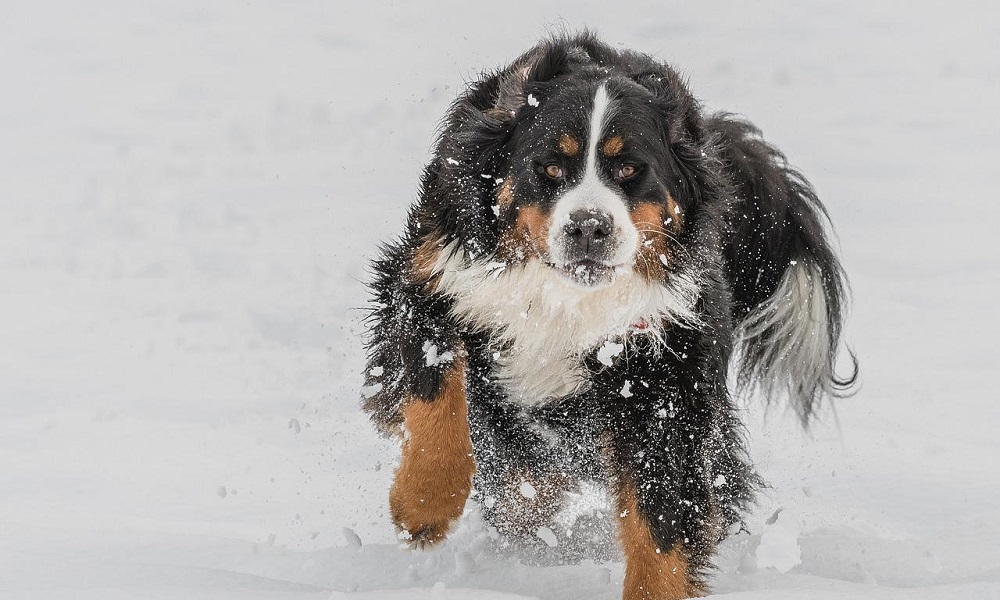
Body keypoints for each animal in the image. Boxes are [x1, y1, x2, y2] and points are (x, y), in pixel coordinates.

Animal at [364, 32, 856, 600]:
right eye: (551, 168)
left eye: (628, 170)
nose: (589, 226)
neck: (564, 300)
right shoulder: (433, 279)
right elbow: (434, 393)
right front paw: (423, 505)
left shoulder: (661, 375)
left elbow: (661, 515)